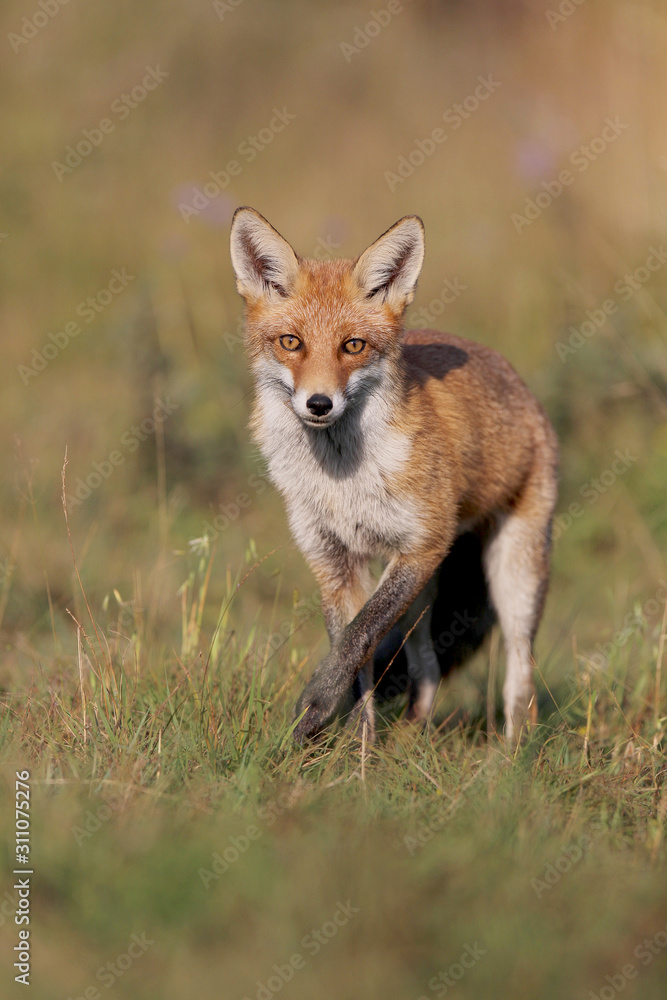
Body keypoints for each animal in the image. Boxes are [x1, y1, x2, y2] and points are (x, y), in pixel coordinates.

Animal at [229, 207, 559, 744]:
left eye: (353, 346)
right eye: (291, 343)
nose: (318, 404)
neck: (343, 480)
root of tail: (508, 369)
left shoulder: (423, 544)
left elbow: (359, 636)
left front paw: (315, 709)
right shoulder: (331, 556)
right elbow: (355, 652)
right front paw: (359, 749)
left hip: (514, 575)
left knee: (520, 678)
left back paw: (511, 756)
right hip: (421, 595)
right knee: (427, 669)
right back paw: (411, 736)